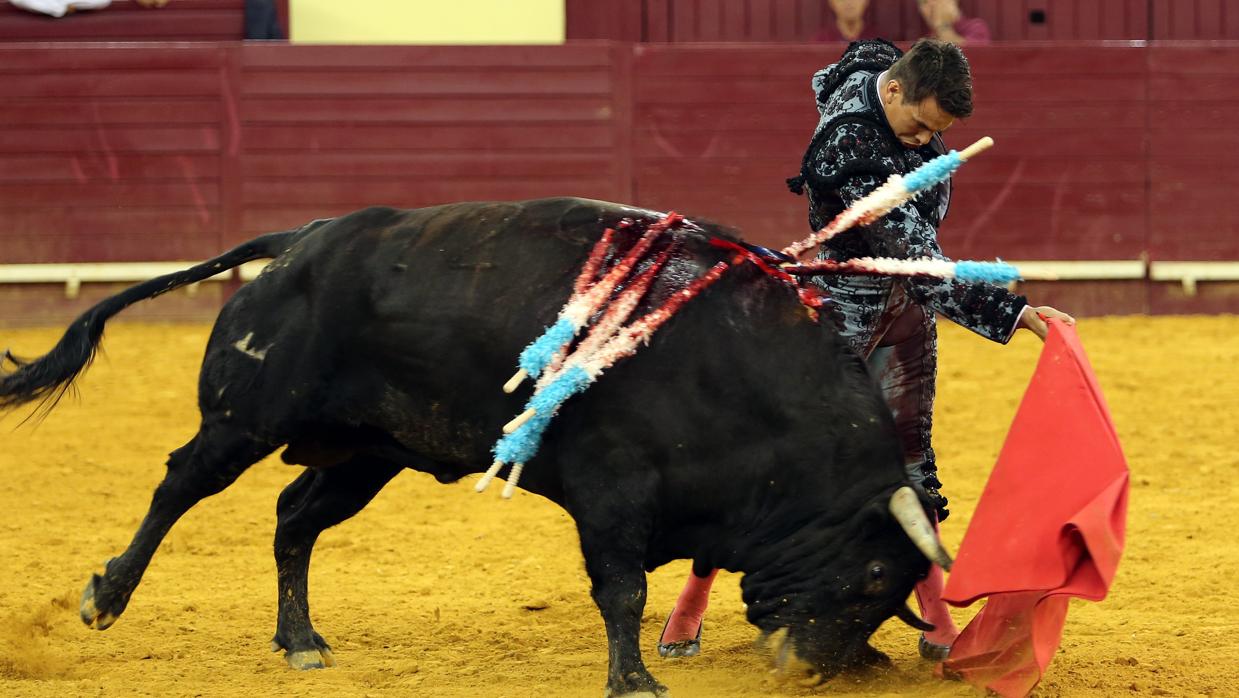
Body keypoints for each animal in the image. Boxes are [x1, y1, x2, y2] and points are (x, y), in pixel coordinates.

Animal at [0, 198, 951, 698]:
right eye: (872, 571)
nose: (815, 668)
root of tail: (302, 240)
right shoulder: (612, 491)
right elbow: (622, 590)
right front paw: (633, 679)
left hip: (366, 451)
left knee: (293, 518)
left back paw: (299, 639)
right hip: (245, 420)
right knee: (178, 487)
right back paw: (105, 597)